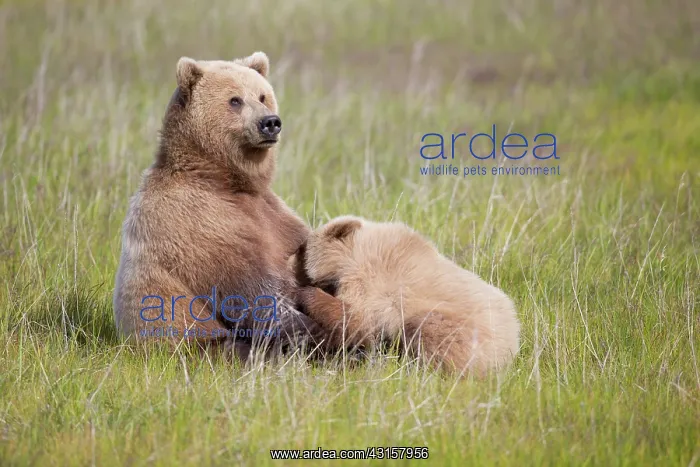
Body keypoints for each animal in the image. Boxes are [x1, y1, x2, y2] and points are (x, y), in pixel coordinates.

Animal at [113, 52, 324, 361]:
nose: (270, 122)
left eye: (262, 96)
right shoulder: (203, 225)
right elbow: (257, 294)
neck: (224, 180)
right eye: (235, 100)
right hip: (197, 344)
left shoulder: (273, 215)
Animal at [291, 216, 521, 377]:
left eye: (302, 248)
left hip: (464, 330)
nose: (291, 255)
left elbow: (357, 322)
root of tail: (512, 344)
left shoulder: (370, 277)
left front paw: (304, 294)